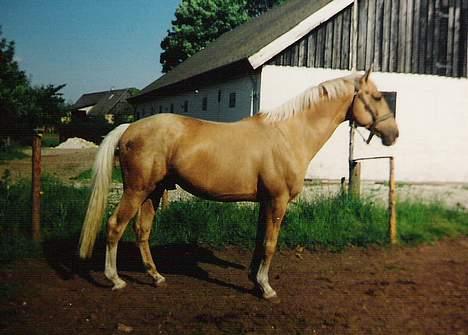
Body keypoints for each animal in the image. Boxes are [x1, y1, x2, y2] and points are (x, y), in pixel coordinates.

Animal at [79, 70, 398, 302]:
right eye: (377, 96)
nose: (393, 134)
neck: (288, 134)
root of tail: (129, 129)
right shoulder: (278, 200)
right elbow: (269, 244)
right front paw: (266, 289)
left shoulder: (266, 202)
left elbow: (260, 242)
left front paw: (255, 281)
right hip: (136, 190)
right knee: (114, 226)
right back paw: (115, 280)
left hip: (153, 192)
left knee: (142, 231)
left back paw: (156, 277)